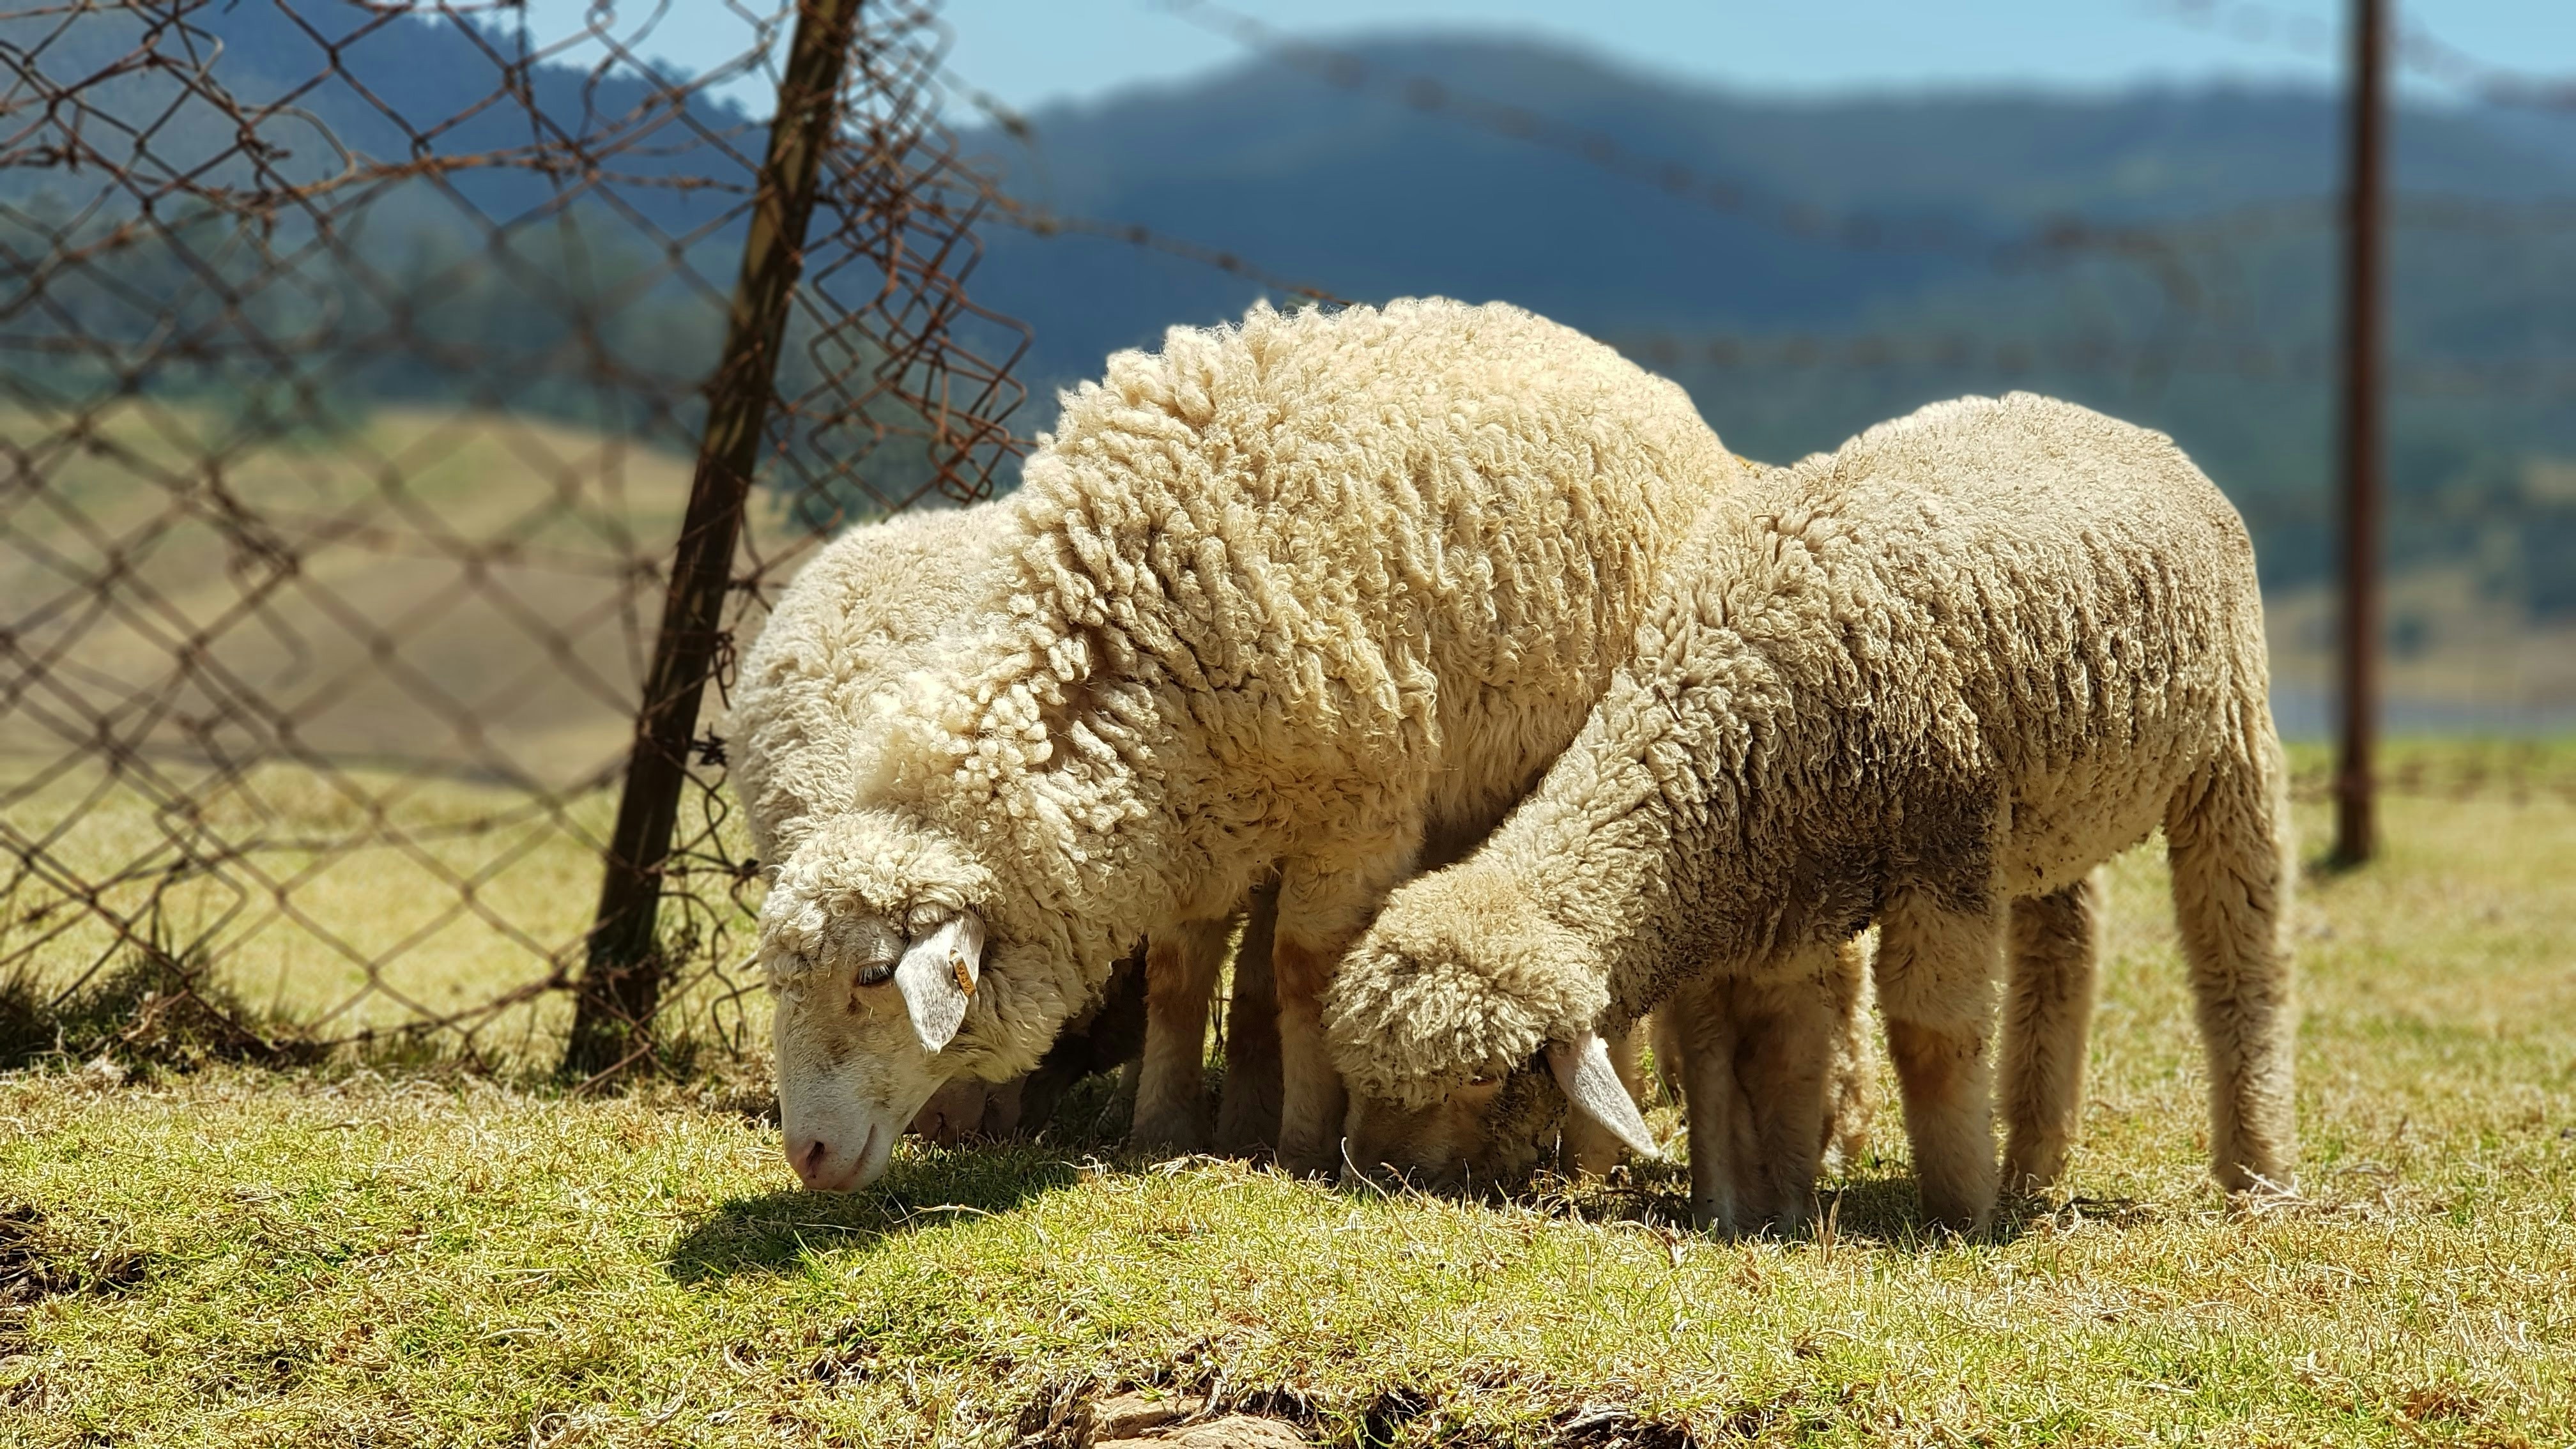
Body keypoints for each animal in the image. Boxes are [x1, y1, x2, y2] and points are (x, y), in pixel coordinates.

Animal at [755, 297, 1745, 1189]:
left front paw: (1304, 1144)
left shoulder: (1359, 817)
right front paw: (1161, 1128)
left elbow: (1304, 973)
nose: (808, 1155)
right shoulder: (1191, 813)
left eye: (874, 977)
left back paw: (1591, 1146)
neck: (1131, 615)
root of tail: (1631, 371)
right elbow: (1178, 975)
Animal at [1323, 393, 2296, 1232]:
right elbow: (1747, 1051)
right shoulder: (1774, 885)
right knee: (2064, 954)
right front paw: (1749, 1206)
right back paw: (2033, 1165)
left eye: (1482, 1079)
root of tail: (2115, 424)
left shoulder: (1941, 843)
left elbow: (1930, 1036)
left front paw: (1956, 1212)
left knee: (2238, 957)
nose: (1371, 1178)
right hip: (2052, 808)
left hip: (2232, 739)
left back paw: (2256, 1174)